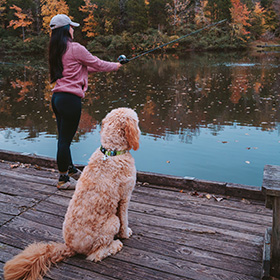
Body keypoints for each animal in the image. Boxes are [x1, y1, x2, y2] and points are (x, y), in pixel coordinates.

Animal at [3, 107, 140, 280]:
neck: (111, 151)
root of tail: (70, 247)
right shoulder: (125, 197)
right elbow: (124, 220)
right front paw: (126, 234)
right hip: (111, 223)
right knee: (96, 255)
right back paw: (115, 245)